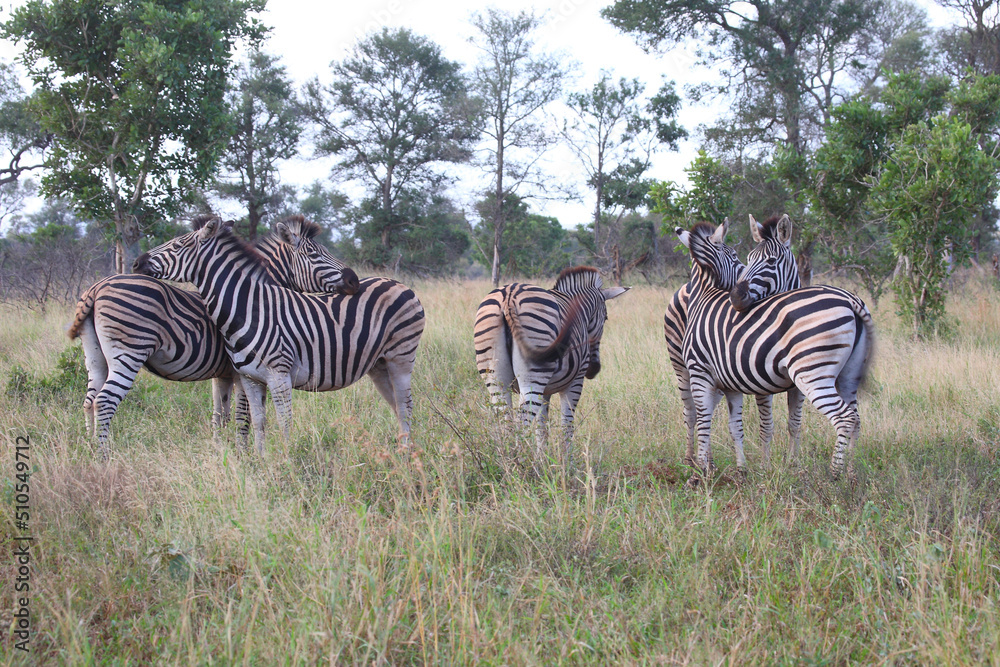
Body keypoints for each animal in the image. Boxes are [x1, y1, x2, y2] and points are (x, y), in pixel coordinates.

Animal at [67, 215, 359, 460]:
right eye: (314, 254)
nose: (354, 280)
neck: (253, 299)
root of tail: (96, 287)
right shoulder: (240, 372)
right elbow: (242, 415)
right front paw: (243, 454)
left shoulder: (222, 374)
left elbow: (220, 414)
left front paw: (221, 449)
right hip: (129, 353)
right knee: (105, 401)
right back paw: (104, 456)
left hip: (95, 358)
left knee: (90, 401)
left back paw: (89, 446)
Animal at [132, 216, 425, 455]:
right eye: (313, 253)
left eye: (176, 246)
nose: (137, 262)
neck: (248, 308)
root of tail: (399, 283)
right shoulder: (248, 377)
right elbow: (256, 420)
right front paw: (260, 462)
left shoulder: (278, 375)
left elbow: (280, 423)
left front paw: (286, 462)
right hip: (379, 364)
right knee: (398, 406)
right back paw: (402, 452)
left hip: (401, 358)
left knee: (406, 405)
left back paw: (405, 457)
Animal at [474, 266, 628, 467]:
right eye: (606, 318)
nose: (594, 370)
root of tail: (509, 296)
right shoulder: (575, 382)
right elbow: (567, 423)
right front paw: (567, 463)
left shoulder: (545, 390)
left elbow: (542, 425)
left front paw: (543, 458)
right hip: (534, 374)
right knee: (522, 421)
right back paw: (521, 466)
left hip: (495, 376)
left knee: (505, 420)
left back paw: (507, 463)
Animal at [678, 220, 874, 479]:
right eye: (739, 257)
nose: (736, 297)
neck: (704, 296)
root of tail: (850, 299)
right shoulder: (730, 384)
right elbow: (735, 426)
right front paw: (741, 470)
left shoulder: (700, 372)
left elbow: (704, 419)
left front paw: (700, 472)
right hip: (848, 375)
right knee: (857, 419)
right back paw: (851, 473)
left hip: (812, 374)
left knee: (844, 418)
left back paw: (834, 475)